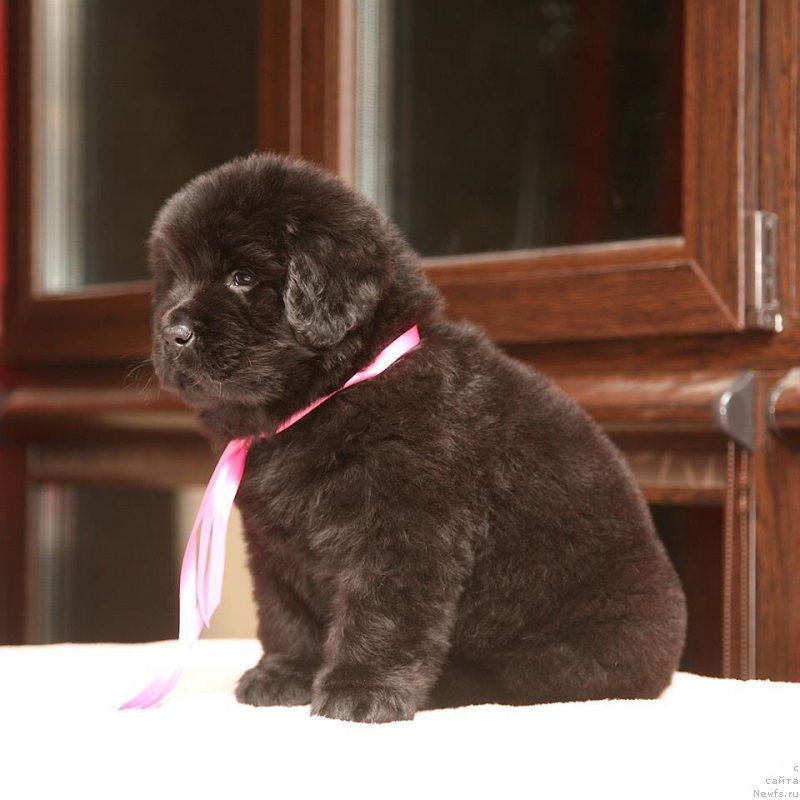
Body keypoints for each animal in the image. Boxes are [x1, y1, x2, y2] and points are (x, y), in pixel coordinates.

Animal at [148, 153, 688, 720]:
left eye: (242, 276)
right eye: (174, 279)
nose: (171, 333)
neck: (339, 389)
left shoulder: (401, 527)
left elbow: (380, 614)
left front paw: (358, 692)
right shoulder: (276, 546)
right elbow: (287, 616)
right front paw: (285, 676)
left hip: (562, 648)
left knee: (517, 679)